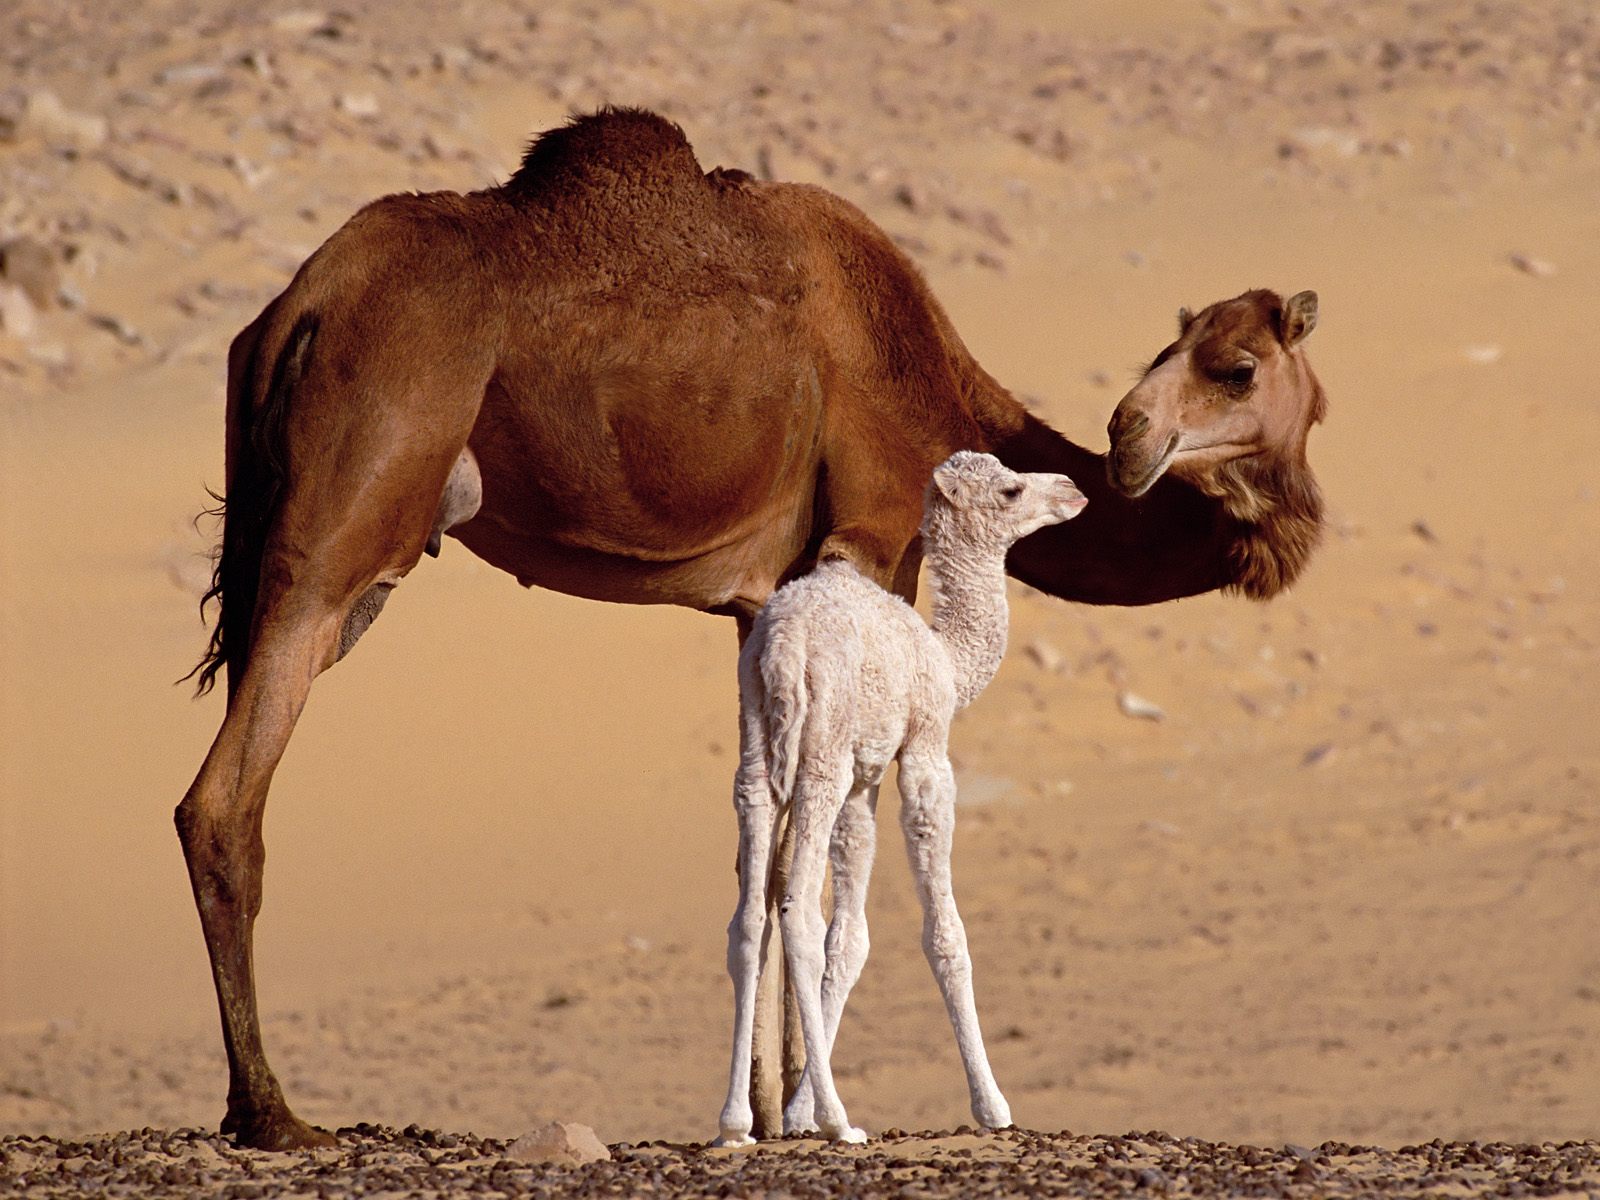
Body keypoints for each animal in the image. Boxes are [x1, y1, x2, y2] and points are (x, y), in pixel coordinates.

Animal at [723, 451, 1088, 1145]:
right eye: (1011, 489)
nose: (1073, 490)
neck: (946, 656)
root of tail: (783, 646)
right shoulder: (922, 752)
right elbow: (945, 934)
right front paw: (992, 1106)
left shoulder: (864, 779)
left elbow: (852, 940)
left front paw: (796, 1113)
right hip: (821, 753)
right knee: (797, 912)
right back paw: (841, 1123)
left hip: (758, 750)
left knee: (750, 917)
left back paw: (733, 1121)